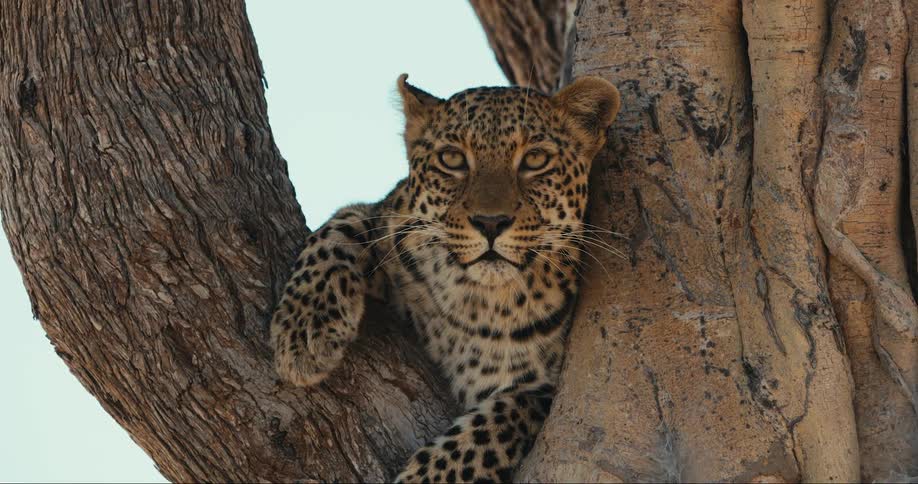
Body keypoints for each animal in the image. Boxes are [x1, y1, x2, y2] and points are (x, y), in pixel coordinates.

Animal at [270, 74, 620, 483]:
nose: (490, 222)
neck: (480, 300)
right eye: (452, 158)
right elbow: (339, 229)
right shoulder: (388, 215)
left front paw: (424, 478)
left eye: (536, 159)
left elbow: (496, 422)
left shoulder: (545, 391)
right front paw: (304, 333)